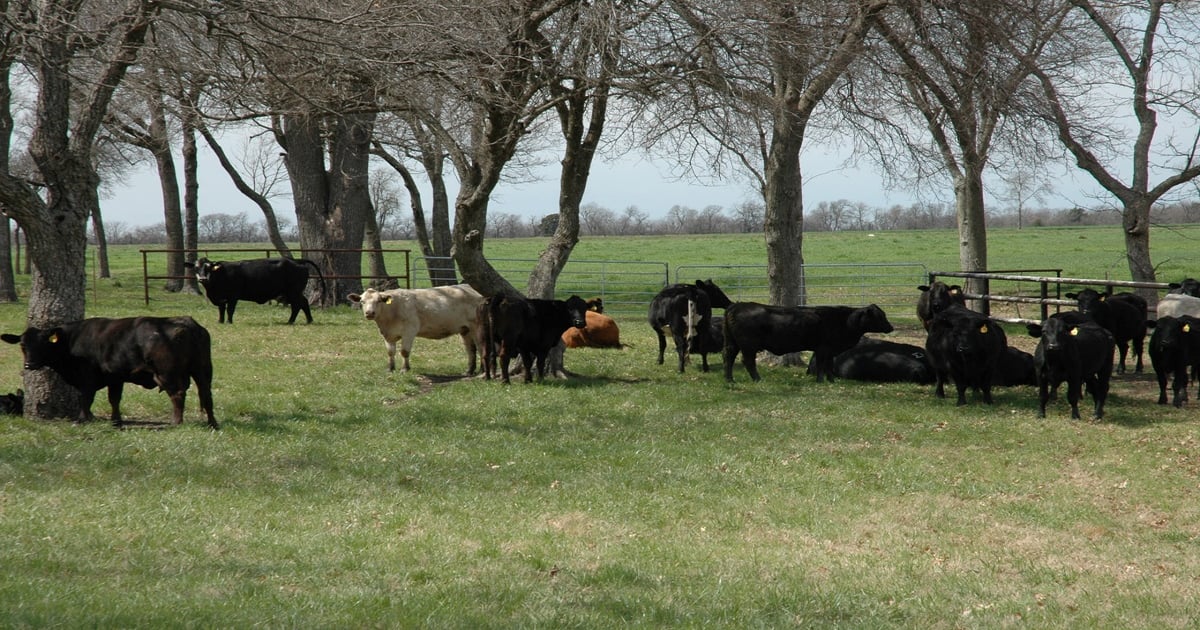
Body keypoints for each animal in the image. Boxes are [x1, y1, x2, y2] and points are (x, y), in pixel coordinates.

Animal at [1, 317, 218, 429]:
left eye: (43, 344)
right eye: (23, 345)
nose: (29, 364)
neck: (72, 340)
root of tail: (186, 323)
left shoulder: (87, 378)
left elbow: (86, 398)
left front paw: (84, 418)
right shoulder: (115, 377)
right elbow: (114, 399)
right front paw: (116, 420)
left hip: (167, 373)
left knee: (178, 395)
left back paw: (176, 422)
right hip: (203, 370)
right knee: (206, 395)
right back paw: (212, 423)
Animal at [186, 257, 323, 324]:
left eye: (208, 267)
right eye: (196, 268)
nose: (203, 279)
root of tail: (297, 261)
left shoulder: (233, 297)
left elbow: (230, 310)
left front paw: (229, 322)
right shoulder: (221, 298)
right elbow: (221, 310)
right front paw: (220, 321)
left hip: (293, 292)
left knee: (297, 305)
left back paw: (291, 321)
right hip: (293, 293)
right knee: (303, 303)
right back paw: (309, 320)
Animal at [348, 285, 483, 375]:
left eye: (378, 301)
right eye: (362, 301)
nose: (369, 313)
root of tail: (468, 288)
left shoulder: (409, 331)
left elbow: (404, 352)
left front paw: (405, 369)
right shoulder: (388, 334)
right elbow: (390, 352)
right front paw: (390, 368)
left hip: (476, 327)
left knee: (480, 347)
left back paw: (482, 370)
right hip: (464, 329)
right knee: (470, 349)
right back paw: (469, 371)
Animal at [723, 303, 894, 383]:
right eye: (880, 316)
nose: (891, 327)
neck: (844, 321)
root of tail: (736, 305)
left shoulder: (830, 350)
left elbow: (829, 366)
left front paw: (831, 381)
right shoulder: (823, 348)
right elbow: (821, 365)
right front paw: (820, 381)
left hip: (732, 344)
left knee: (728, 358)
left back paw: (730, 380)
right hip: (748, 345)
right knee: (748, 361)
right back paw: (757, 379)